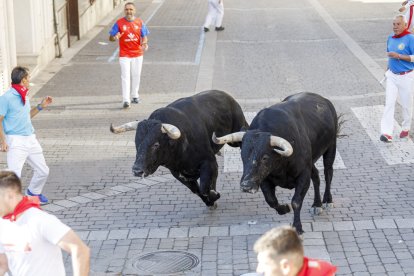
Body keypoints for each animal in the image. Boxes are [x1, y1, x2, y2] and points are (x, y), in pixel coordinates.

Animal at [109, 90, 249, 209]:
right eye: (136, 142)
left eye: (156, 144)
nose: (137, 170)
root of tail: (226, 96)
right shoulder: (178, 173)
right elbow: (197, 190)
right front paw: (210, 201)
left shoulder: (209, 162)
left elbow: (204, 186)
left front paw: (214, 196)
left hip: (235, 135)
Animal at [213, 92, 340, 233]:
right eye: (243, 155)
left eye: (265, 157)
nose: (246, 185)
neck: (280, 166)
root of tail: (324, 100)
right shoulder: (264, 179)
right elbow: (271, 200)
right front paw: (284, 209)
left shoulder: (303, 175)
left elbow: (296, 201)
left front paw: (297, 227)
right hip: (311, 161)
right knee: (316, 176)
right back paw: (316, 205)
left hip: (331, 148)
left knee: (328, 173)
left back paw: (327, 201)